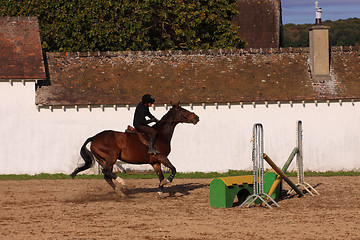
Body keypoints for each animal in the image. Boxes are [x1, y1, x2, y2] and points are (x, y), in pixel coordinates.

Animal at [70, 101, 200, 197]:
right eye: (183, 110)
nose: (197, 118)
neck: (161, 134)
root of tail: (94, 137)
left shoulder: (155, 162)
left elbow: (160, 176)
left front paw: (160, 191)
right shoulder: (162, 157)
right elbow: (173, 169)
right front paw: (167, 182)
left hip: (105, 160)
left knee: (107, 175)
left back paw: (120, 193)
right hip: (112, 156)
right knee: (106, 171)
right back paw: (123, 183)